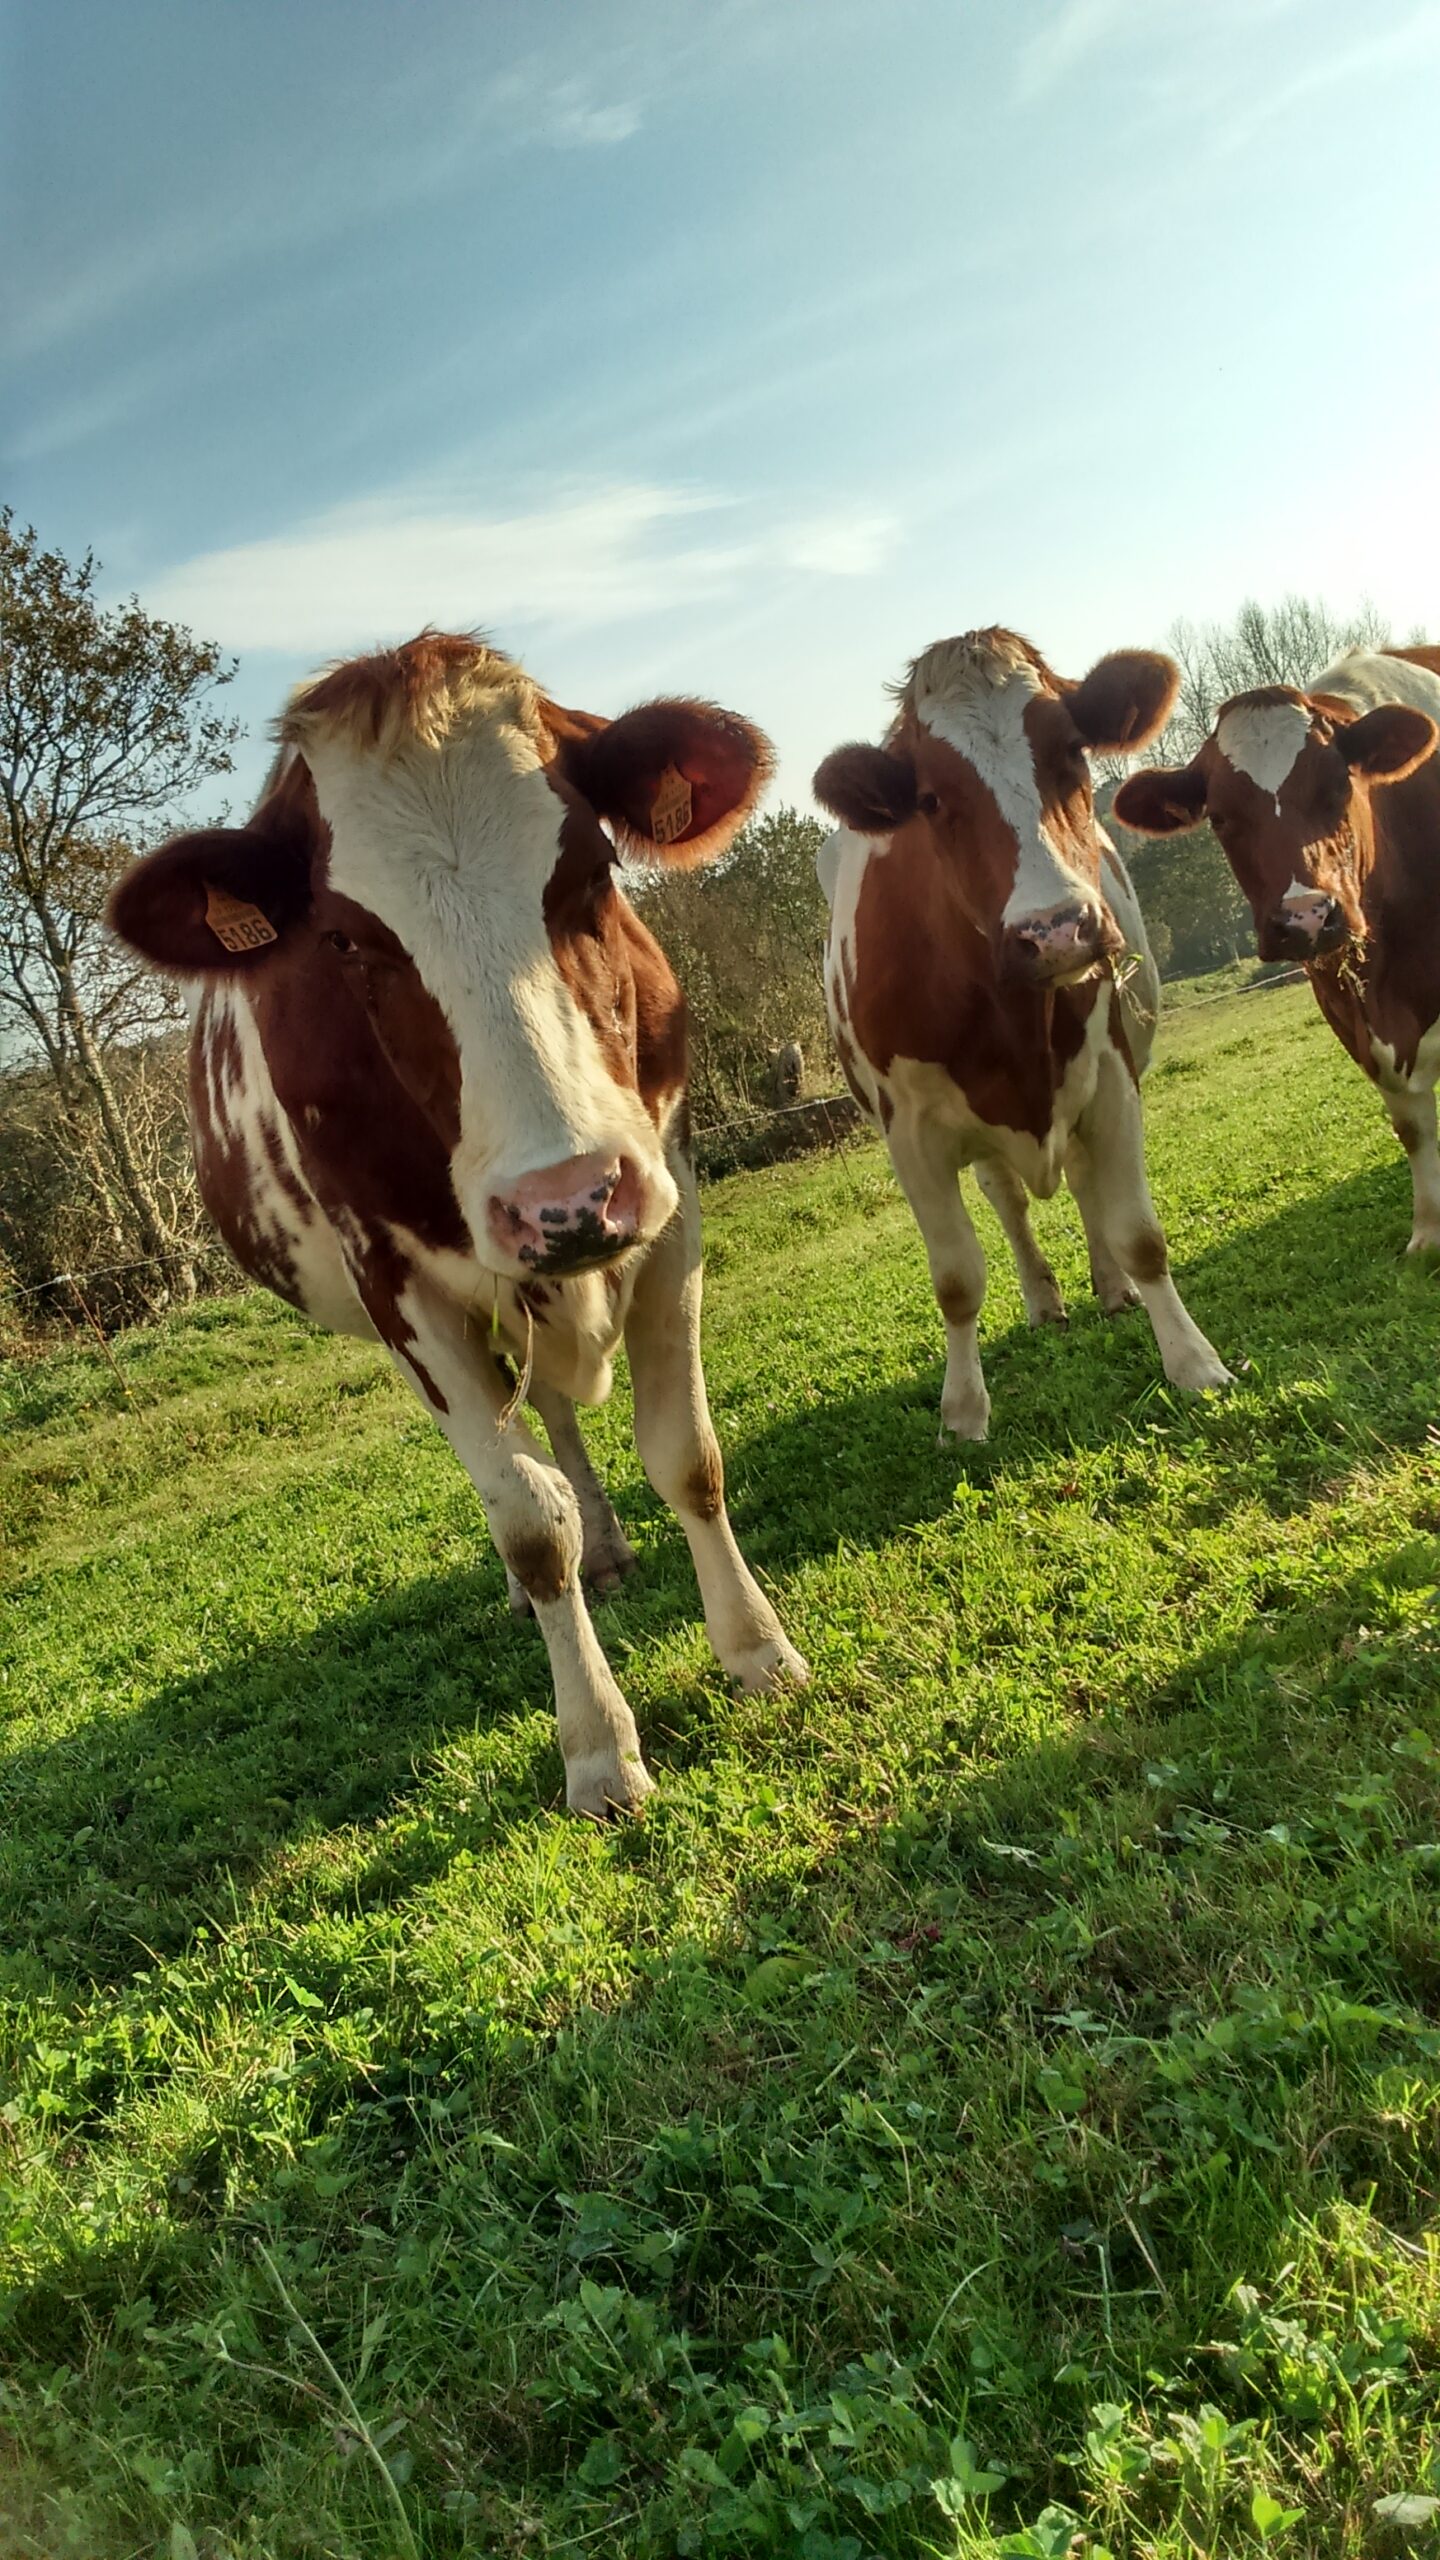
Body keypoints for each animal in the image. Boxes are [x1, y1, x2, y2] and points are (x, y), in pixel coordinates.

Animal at [109, 633, 807, 1818]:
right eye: (345, 941)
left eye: (591, 870)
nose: (567, 1194)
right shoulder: (402, 1289)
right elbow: (528, 1523)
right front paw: (598, 1747)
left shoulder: (667, 1197)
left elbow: (689, 1456)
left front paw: (757, 1649)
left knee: (560, 1416)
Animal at [812, 627, 1230, 1441]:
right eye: (931, 799)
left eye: (1071, 751)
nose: (1057, 930)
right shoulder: (910, 1135)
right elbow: (956, 1279)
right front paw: (964, 1410)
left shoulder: (1112, 1081)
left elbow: (1141, 1234)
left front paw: (1193, 1360)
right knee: (1008, 1202)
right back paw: (1043, 1301)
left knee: (1084, 1184)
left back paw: (1110, 1288)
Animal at [1112, 647, 1440, 1258]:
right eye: (1219, 816)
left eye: (1340, 787)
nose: (1306, 916)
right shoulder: (1348, 1009)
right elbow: (1411, 1125)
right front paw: (1428, 1234)